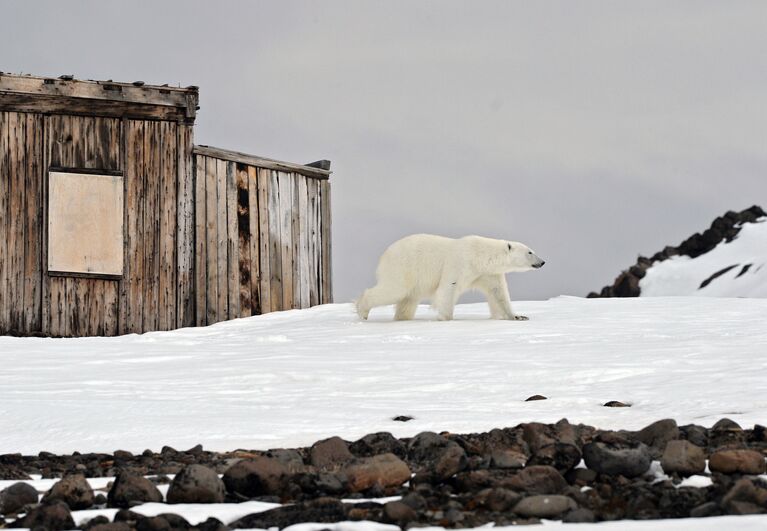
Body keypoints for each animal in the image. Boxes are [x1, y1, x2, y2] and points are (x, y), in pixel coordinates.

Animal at [356, 236, 544, 320]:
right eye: (530, 252)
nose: (542, 262)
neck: (480, 255)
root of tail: (385, 254)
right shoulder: (459, 262)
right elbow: (448, 288)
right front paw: (446, 319)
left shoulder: (487, 273)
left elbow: (498, 294)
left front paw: (517, 316)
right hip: (403, 267)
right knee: (394, 290)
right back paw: (362, 310)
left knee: (407, 301)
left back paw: (402, 318)